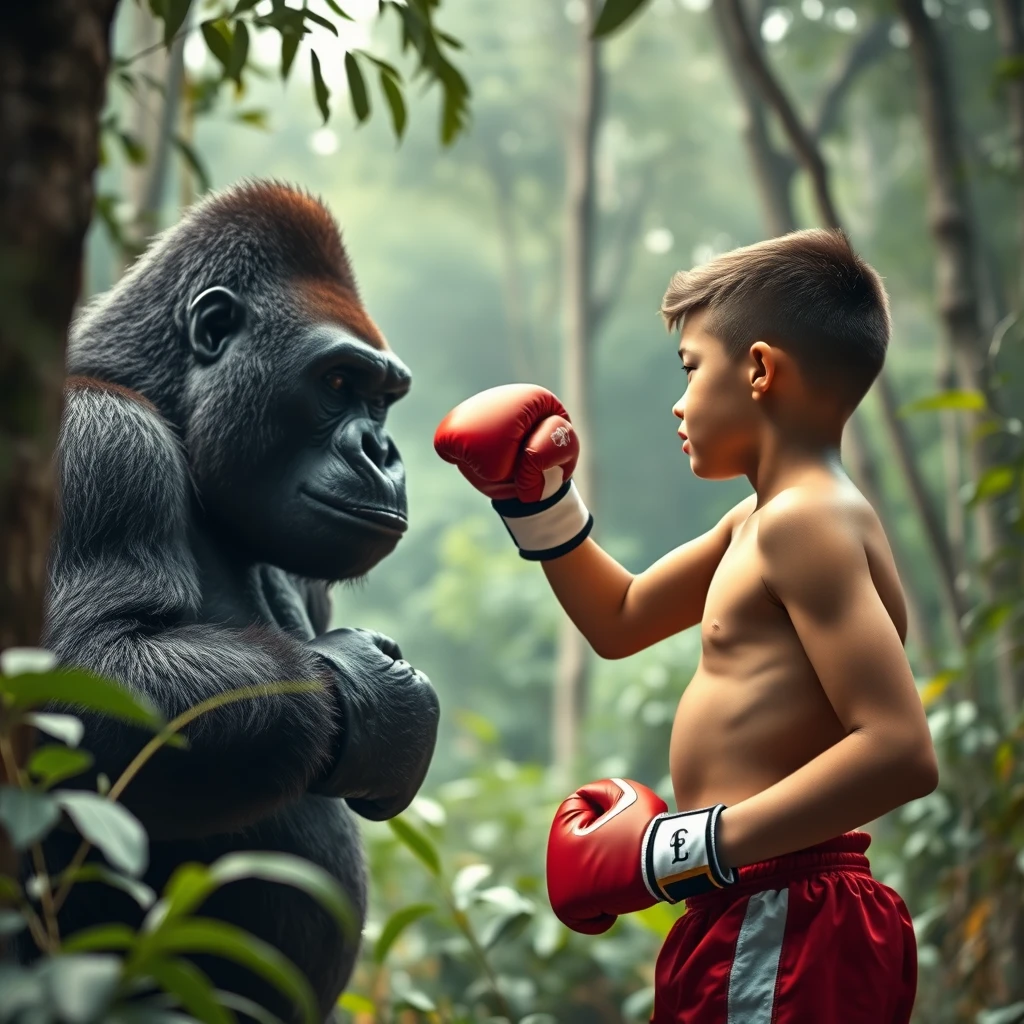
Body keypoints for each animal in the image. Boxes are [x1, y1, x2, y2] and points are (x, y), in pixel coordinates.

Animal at [24, 180, 440, 1019]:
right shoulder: (95, 441)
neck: (168, 407)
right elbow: (87, 687)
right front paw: (370, 691)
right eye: (337, 384)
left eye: (383, 399)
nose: (383, 452)